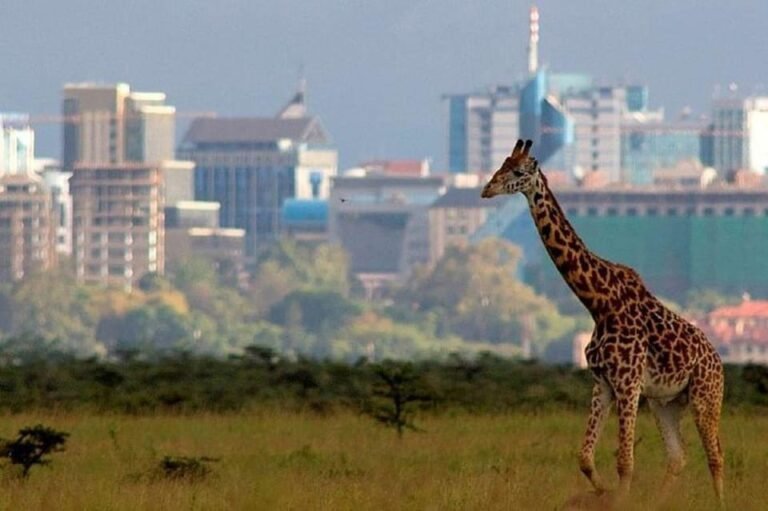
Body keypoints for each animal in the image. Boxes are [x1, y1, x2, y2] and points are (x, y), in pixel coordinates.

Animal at [481, 139, 725, 505]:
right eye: (501, 164)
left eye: (518, 171)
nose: (487, 189)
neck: (599, 303)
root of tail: (719, 362)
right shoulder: (603, 383)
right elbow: (585, 457)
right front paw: (603, 492)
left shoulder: (628, 383)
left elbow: (625, 461)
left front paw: (617, 498)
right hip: (665, 403)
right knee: (678, 457)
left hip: (705, 396)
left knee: (715, 456)